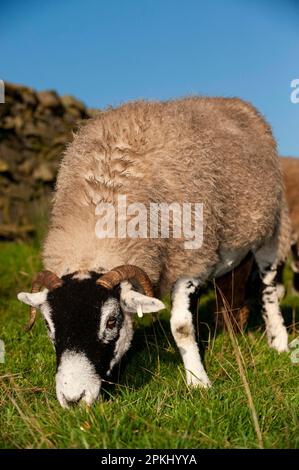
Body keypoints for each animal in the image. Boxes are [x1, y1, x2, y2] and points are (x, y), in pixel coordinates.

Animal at [18, 97, 290, 406]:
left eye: (111, 321)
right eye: (48, 325)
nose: (74, 399)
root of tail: (233, 102)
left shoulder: (190, 262)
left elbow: (181, 328)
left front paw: (198, 382)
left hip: (272, 227)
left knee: (269, 287)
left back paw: (279, 341)